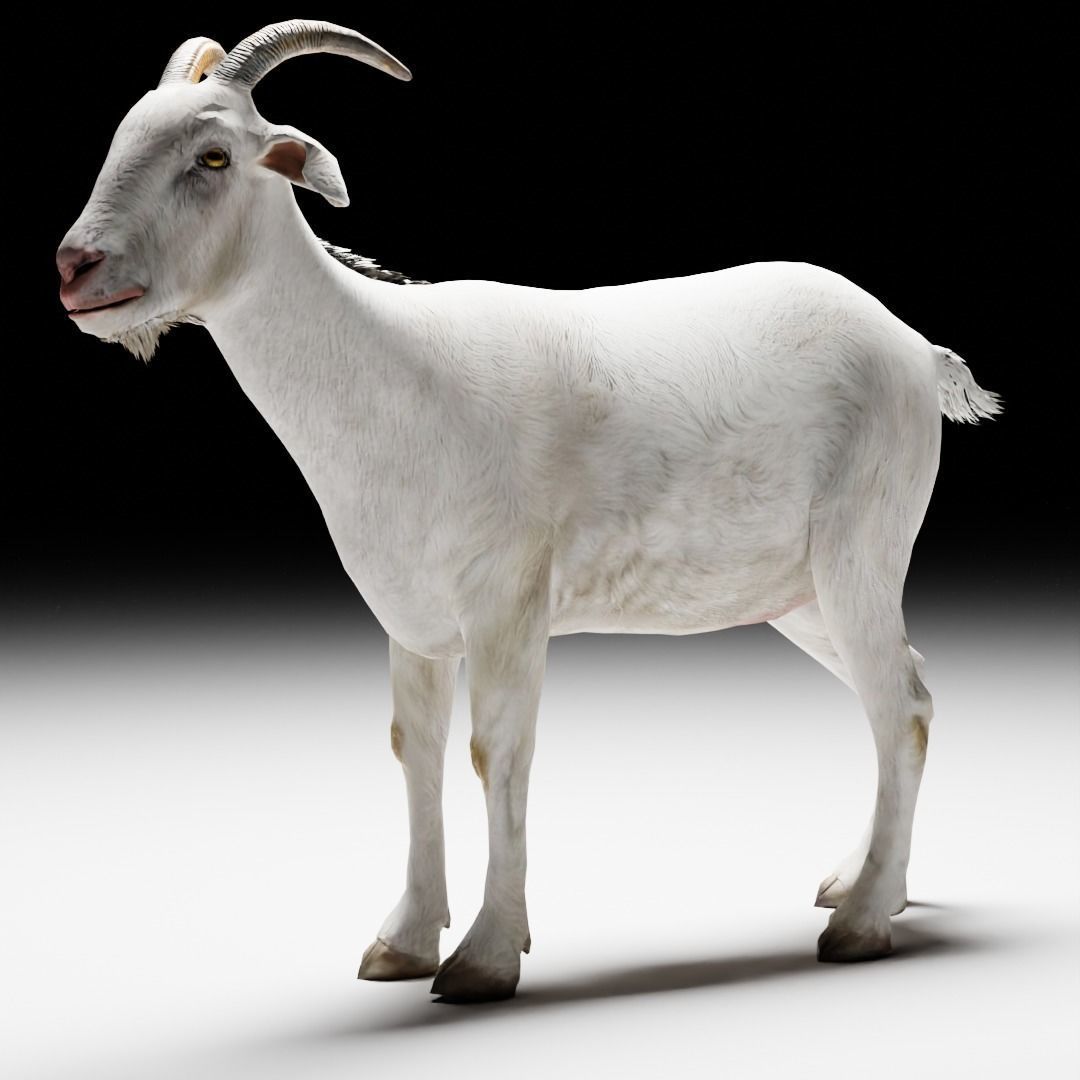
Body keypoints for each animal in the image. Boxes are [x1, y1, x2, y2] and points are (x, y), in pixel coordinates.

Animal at [56, 20, 1002, 1003]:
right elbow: (415, 746)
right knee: (907, 690)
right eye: (122, 139)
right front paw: (401, 943)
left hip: (862, 549)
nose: (76, 269)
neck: (393, 368)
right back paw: (862, 884)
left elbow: (496, 751)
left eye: (212, 155)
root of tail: (914, 349)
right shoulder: (413, 618)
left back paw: (860, 924)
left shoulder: (507, 601)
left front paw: (484, 956)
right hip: (798, 593)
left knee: (898, 705)